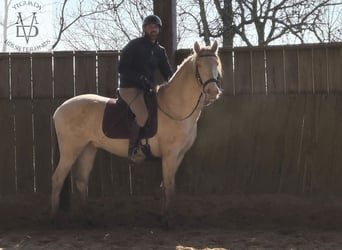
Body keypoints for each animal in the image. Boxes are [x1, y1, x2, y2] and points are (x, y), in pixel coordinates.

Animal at [50, 41, 222, 227]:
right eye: (199, 65)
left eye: (216, 64)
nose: (213, 92)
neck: (174, 108)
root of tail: (60, 108)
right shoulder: (170, 154)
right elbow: (169, 186)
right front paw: (167, 221)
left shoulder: (179, 155)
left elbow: (166, 186)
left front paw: (163, 216)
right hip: (70, 151)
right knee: (57, 179)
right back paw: (54, 219)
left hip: (88, 149)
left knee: (81, 181)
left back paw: (89, 219)